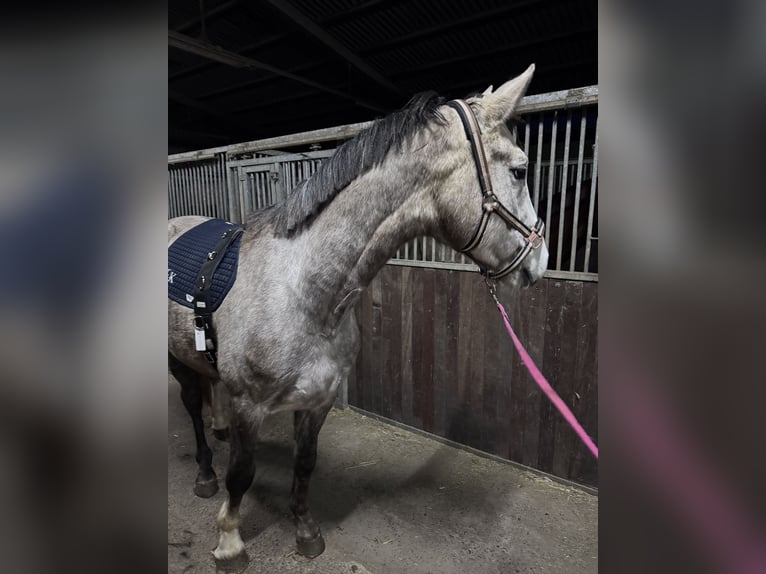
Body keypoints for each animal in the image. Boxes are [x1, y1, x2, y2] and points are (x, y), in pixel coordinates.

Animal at [168, 65, 549, 568]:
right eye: (520, 170)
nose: (540, 262)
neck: (303, 293)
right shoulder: (251, 405)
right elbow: (242, 475)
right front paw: (230, 542)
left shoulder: (318, 400)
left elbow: (305, 464)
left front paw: (307, 531)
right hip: (175, 362)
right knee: (193, 408)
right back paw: (204, 474)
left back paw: (219, 429)